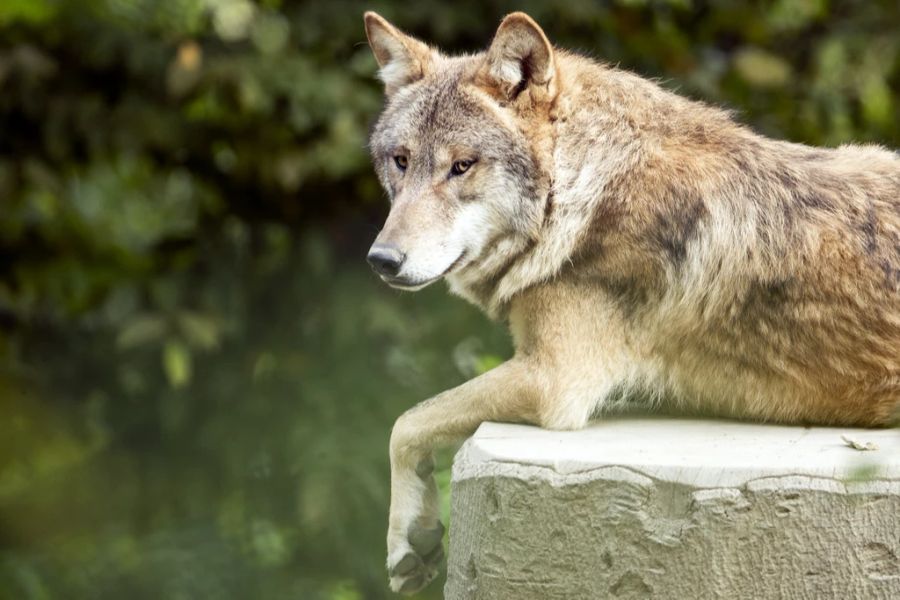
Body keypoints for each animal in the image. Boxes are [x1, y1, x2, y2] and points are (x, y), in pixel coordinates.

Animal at [360, 11, 900, 592]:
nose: (382, 259)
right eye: (401, 161)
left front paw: (406, 538)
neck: (579, 188)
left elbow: (405, 423)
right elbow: (412, 421)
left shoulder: (553, 381)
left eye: (462, 166)